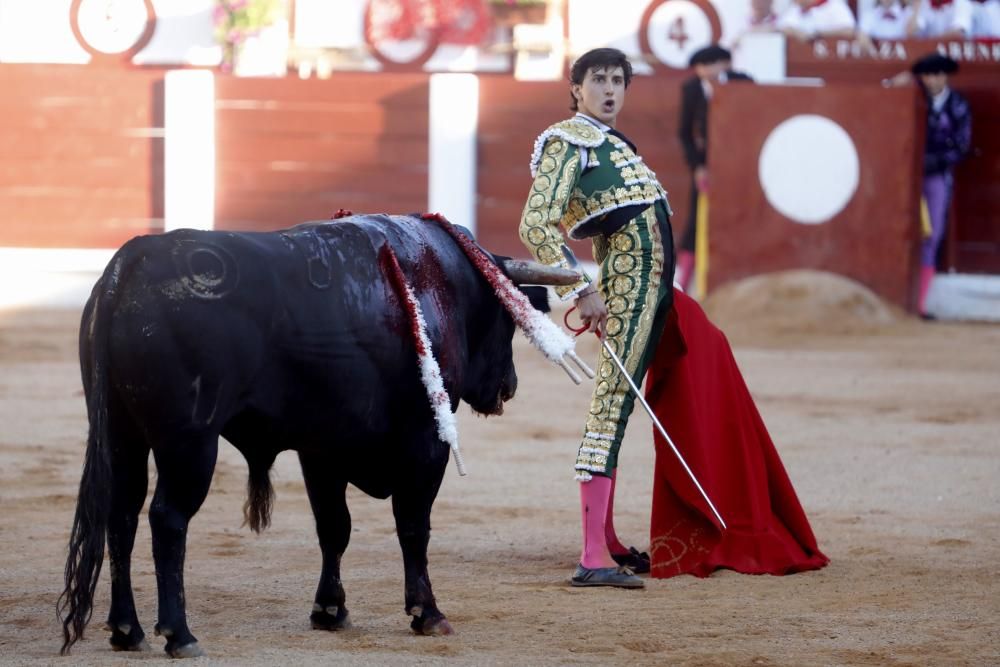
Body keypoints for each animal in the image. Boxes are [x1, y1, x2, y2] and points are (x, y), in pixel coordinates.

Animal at [60, 214, 580, 656]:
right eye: (508, 317)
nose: (508, 387)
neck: (436, 281)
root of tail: (130, 262)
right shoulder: (425, 443)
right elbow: (413, 526)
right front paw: (427, 612)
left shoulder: (321, 449)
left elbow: (334, 527)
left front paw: (330, 610)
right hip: (189, 444)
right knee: (167, 519)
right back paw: (179, 634)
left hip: (122, 435)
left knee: (121, 514)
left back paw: (126, 630)